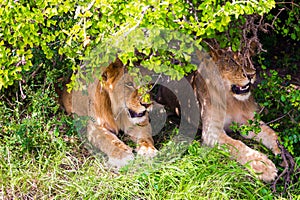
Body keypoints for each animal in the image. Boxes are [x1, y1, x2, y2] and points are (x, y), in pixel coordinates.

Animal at [157, 50, 282, 182]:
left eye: (245, 59)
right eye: (230, 61)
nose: (252, 74)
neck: (231, 100)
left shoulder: (248, 123)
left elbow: (271, 133)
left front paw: (282, 152)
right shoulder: (211, 132)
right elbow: (237, 145)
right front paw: (263, 166)